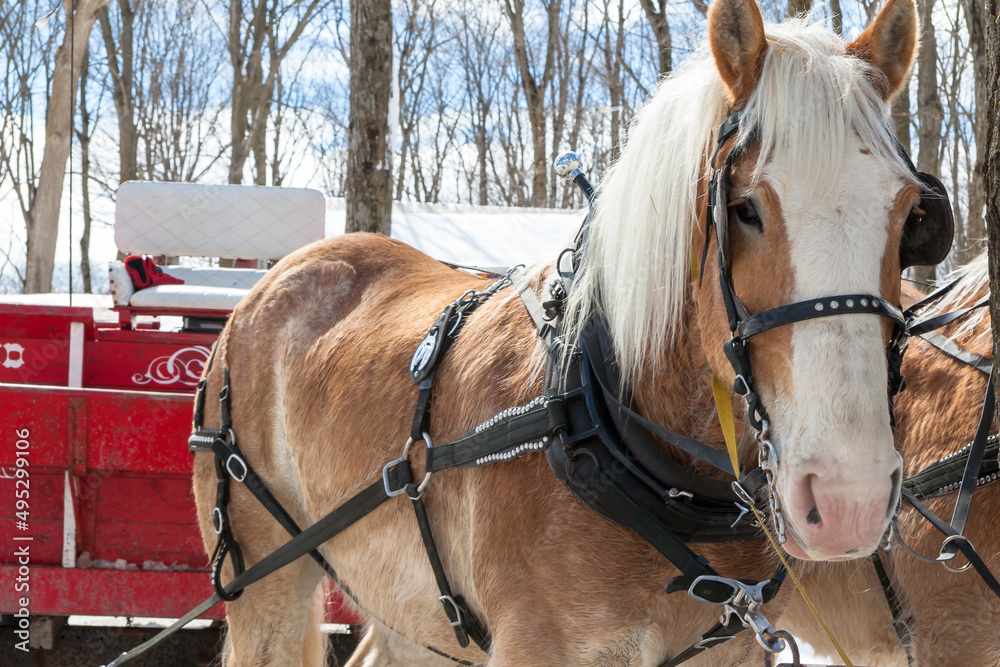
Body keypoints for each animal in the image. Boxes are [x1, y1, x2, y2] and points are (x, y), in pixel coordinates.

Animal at [191, 2, 948, 664]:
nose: (849, 499)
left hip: (411, 612)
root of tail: (269, 283)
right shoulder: (544, 644)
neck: (600, 425)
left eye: (911, 212)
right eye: (744, 207)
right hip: (267, 579)